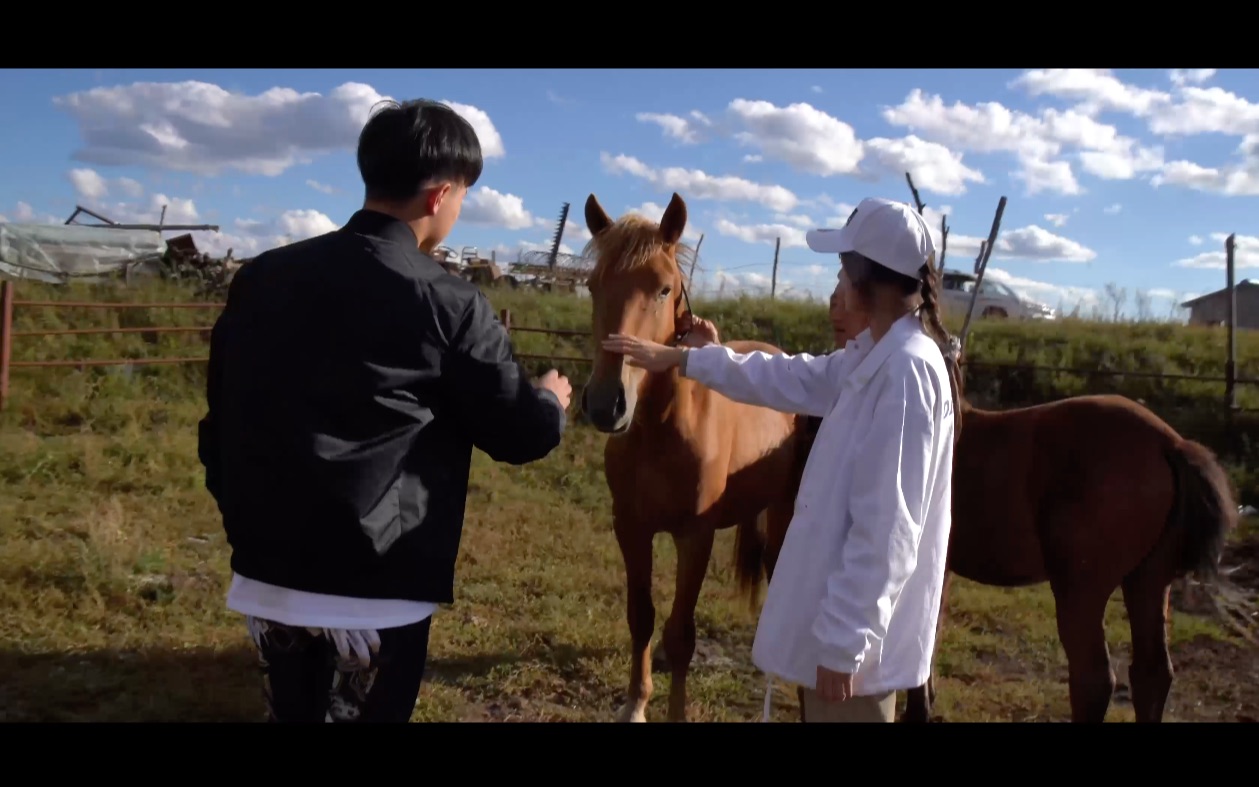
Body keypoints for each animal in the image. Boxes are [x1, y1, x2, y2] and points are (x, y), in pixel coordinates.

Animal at [579, 193, 805, 720]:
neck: (660, 429)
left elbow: (683, 634)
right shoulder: (631, 528)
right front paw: (636, 702)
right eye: (593, 286)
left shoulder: (694, 537)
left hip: (784, 511)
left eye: (664, 289)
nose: (605, 403)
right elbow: (641, 617)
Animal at [886, 390, 1238, 720]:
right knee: (1151, 674)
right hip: (1148, 582)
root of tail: (1171, 444)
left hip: (1080, 590)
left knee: (1093, 679)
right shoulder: (940, 568)